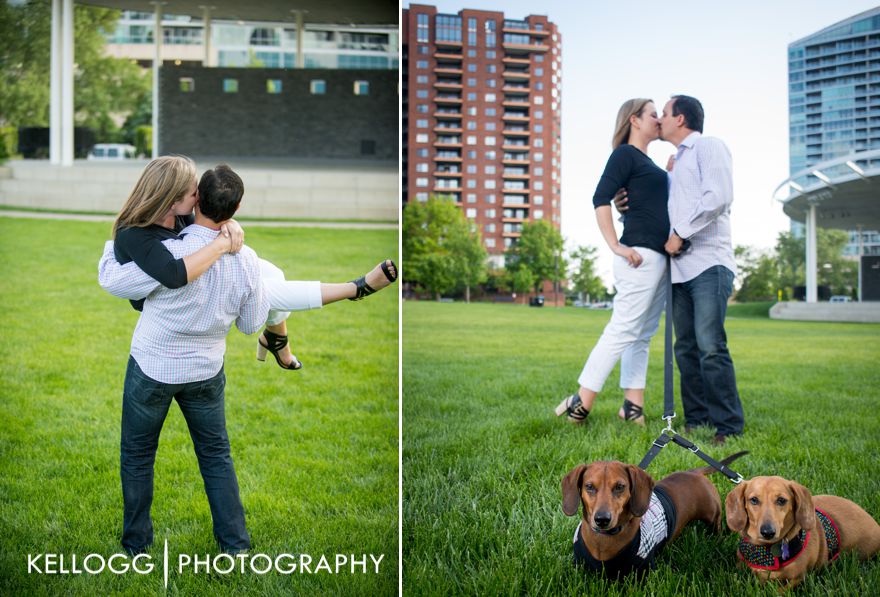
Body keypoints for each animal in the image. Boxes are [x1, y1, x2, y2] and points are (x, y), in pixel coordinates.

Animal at [560, 452, 744, 576]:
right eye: (589, 486)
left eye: (620, 486)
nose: (602, 519)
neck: (605, 539)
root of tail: (694, 472)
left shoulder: (644, 569)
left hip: (713, 514)